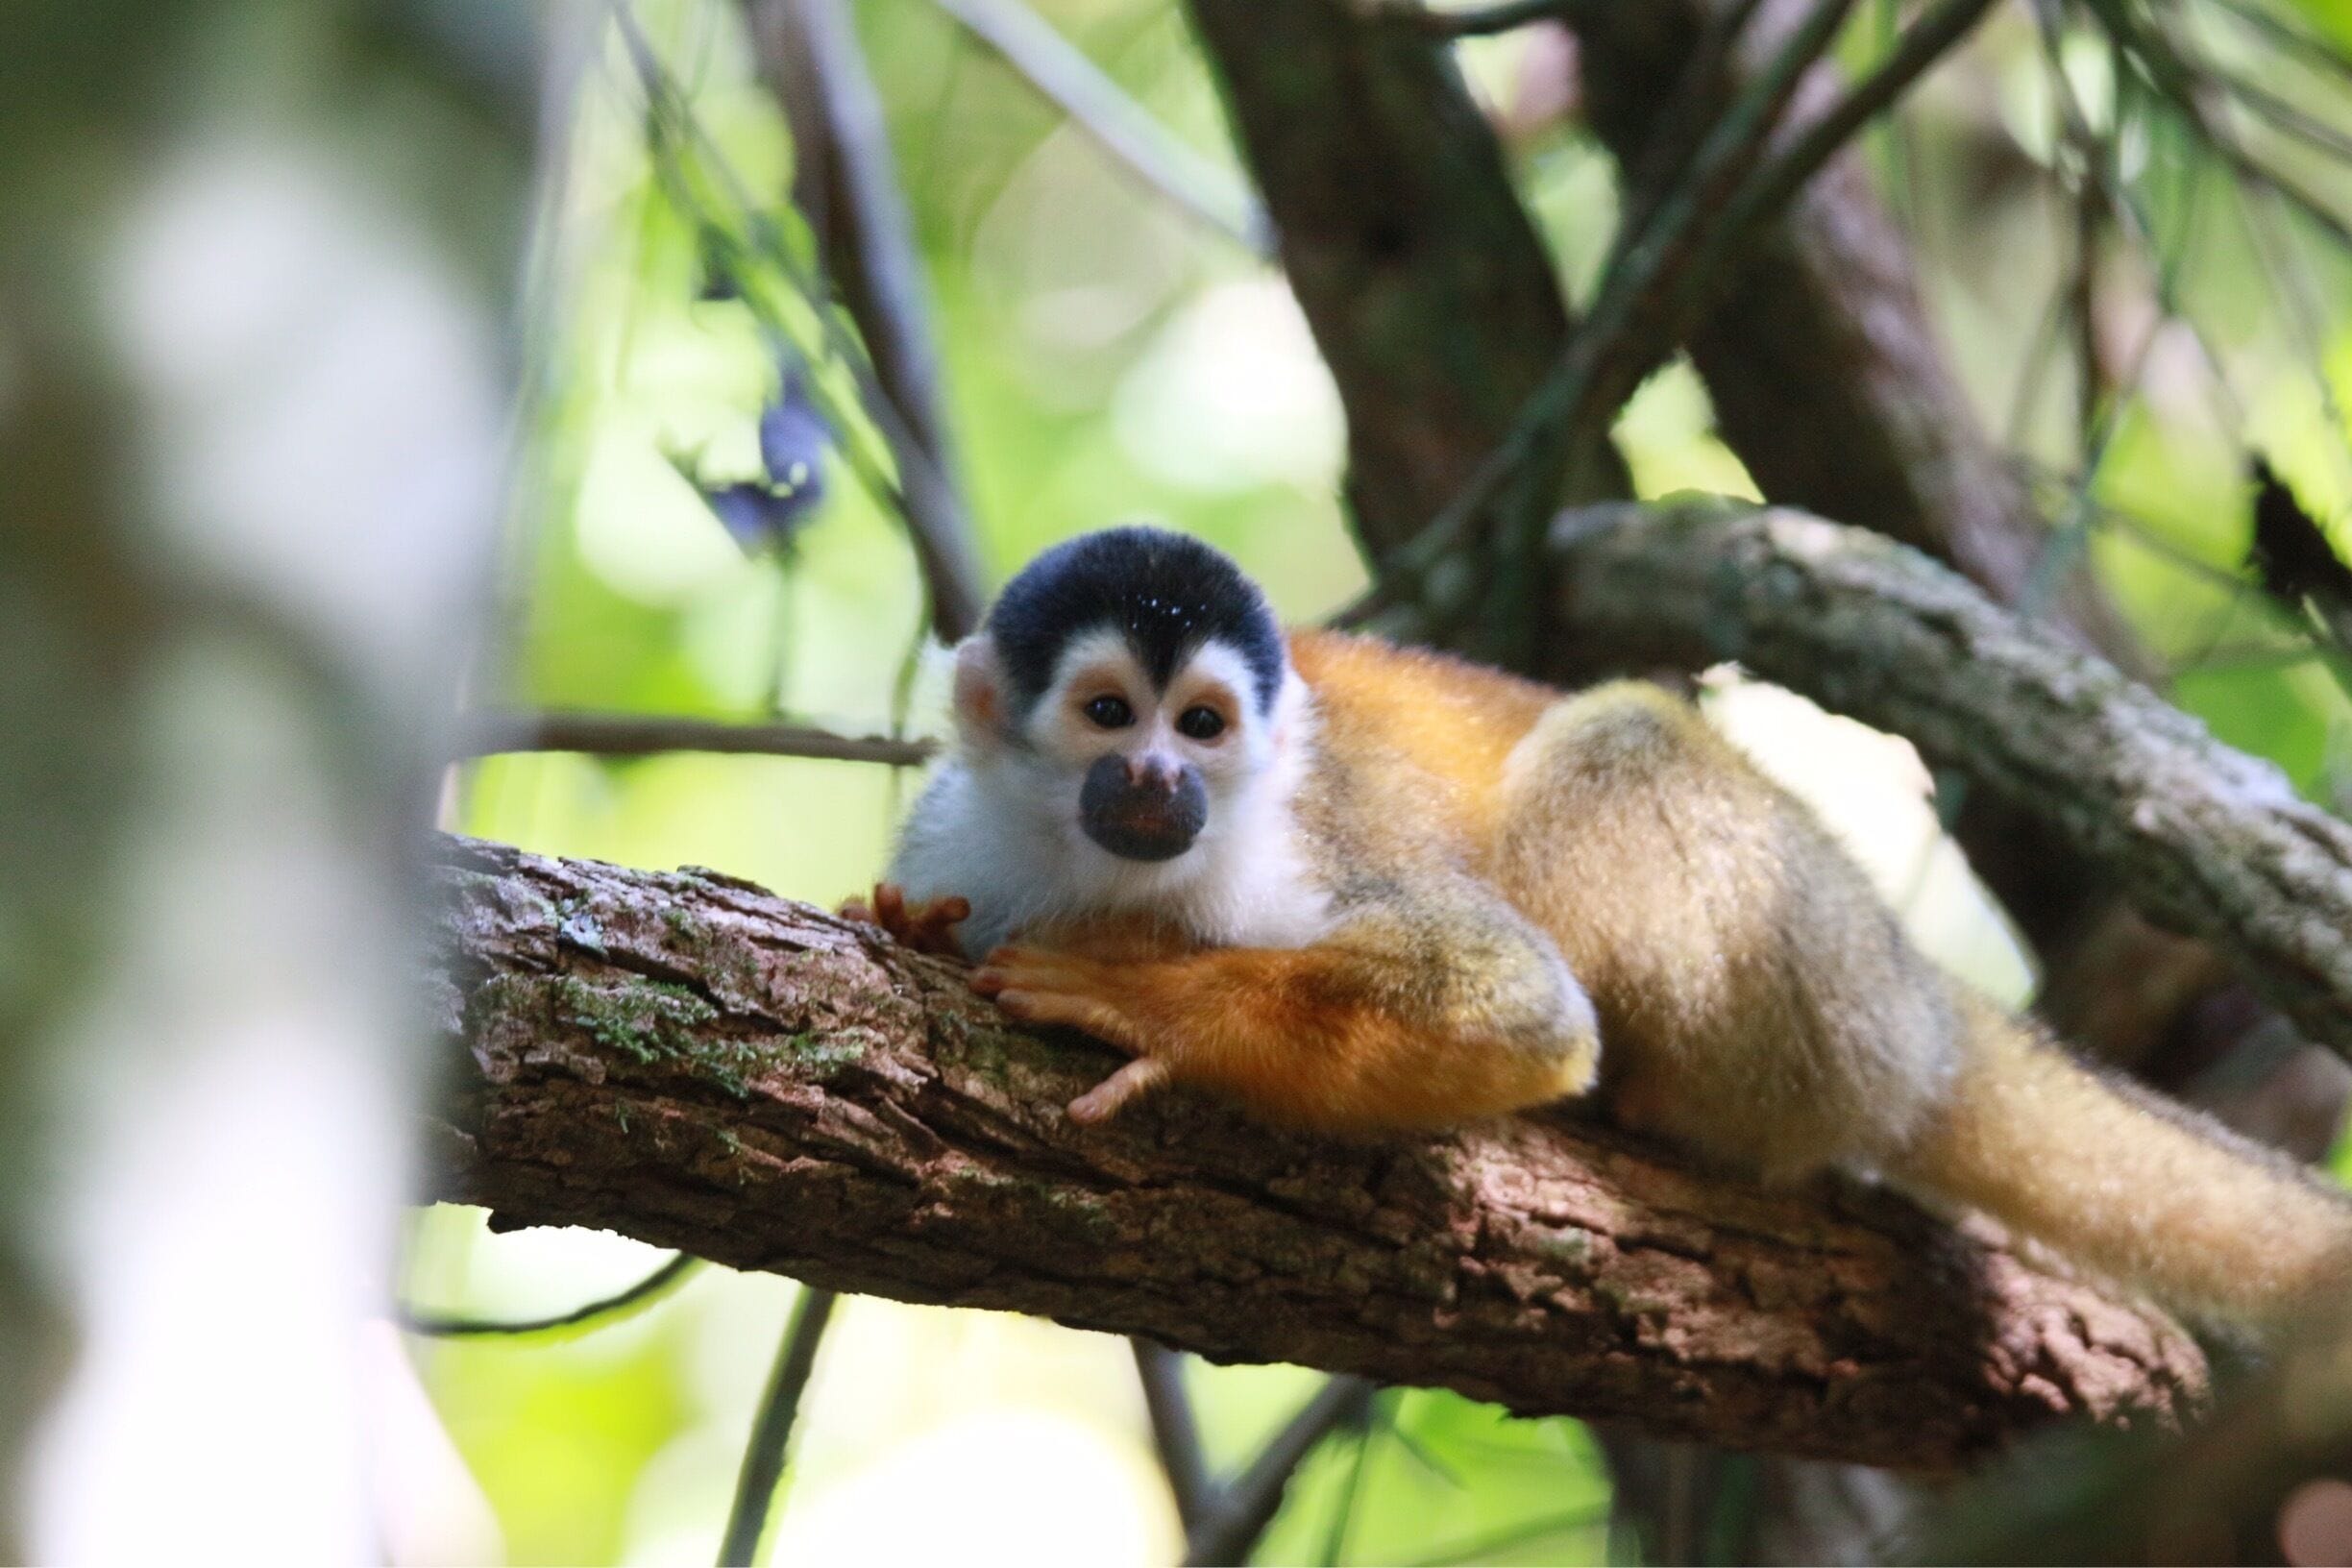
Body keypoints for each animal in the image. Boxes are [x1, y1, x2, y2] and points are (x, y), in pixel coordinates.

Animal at [845, 524, 2352, 1332]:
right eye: (1111, 713)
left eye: (1203, 724)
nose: (1162, 779)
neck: (1097, 861)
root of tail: (1918, 1001)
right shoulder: (970, 835)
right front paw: (905, 921)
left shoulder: (1304, 844)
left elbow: (1521, 1010)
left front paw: (1161, 1005)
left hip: (1814, 985)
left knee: (1618, 747)